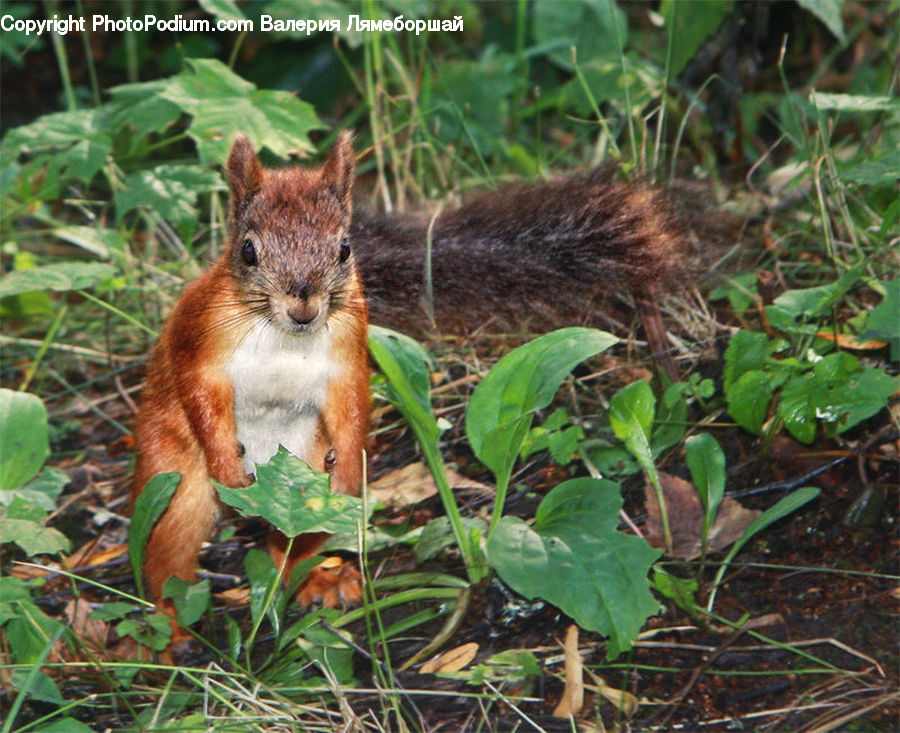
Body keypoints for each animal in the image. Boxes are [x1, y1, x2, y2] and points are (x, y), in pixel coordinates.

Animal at [131, 131, 689, 622]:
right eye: (248, 251)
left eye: (344, 249)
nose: (304, 306)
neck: (282, 334)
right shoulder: (199, 338)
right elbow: (200, 391)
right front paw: (226, 463)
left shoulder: (348, 347)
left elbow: (352, 402)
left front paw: (352, 470)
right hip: (174, 483)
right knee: (167, 554)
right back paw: (169, 626)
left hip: (305, 482)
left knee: (292, 542)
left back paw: (317, 580)